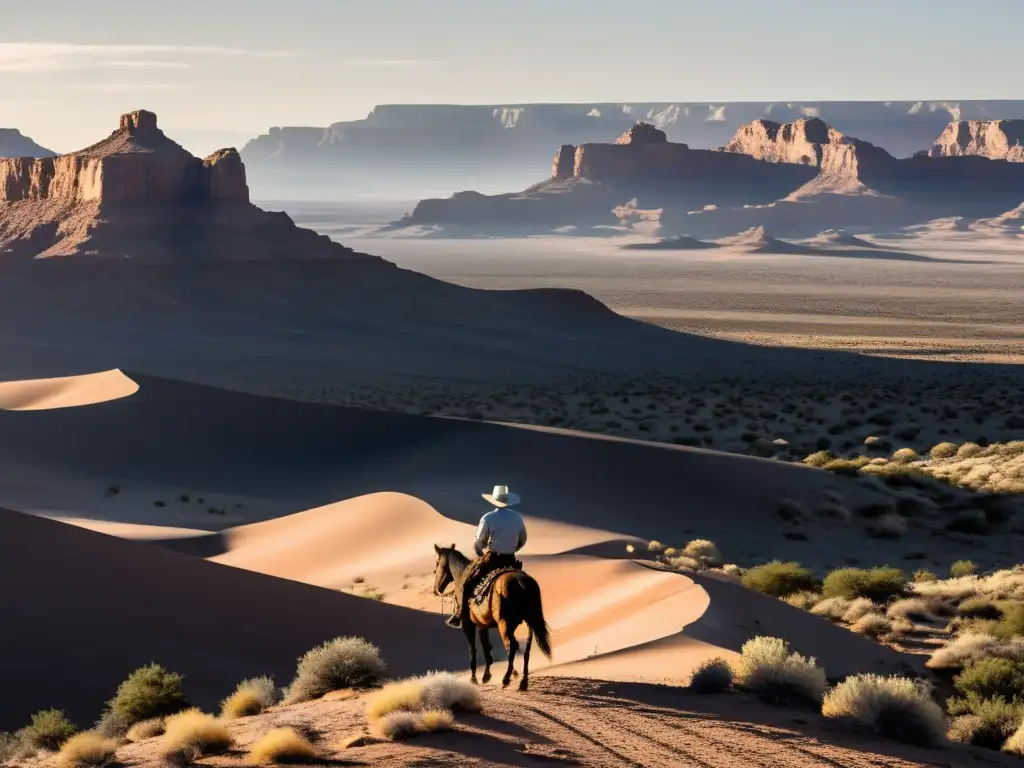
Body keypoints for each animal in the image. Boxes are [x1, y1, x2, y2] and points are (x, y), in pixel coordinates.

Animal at [432, 544, 552, 696]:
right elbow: (486, 647)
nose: (436, 589)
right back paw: (523, 682)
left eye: (437, 563)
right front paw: (486, 676)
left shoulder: (468, 624)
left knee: (512, 645)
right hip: (529, 621)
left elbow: (473, 649)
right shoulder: (482, 625)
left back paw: (506, 679)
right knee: (526, 649)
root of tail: (521, 583)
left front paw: (474, 678)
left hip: (504, 623)